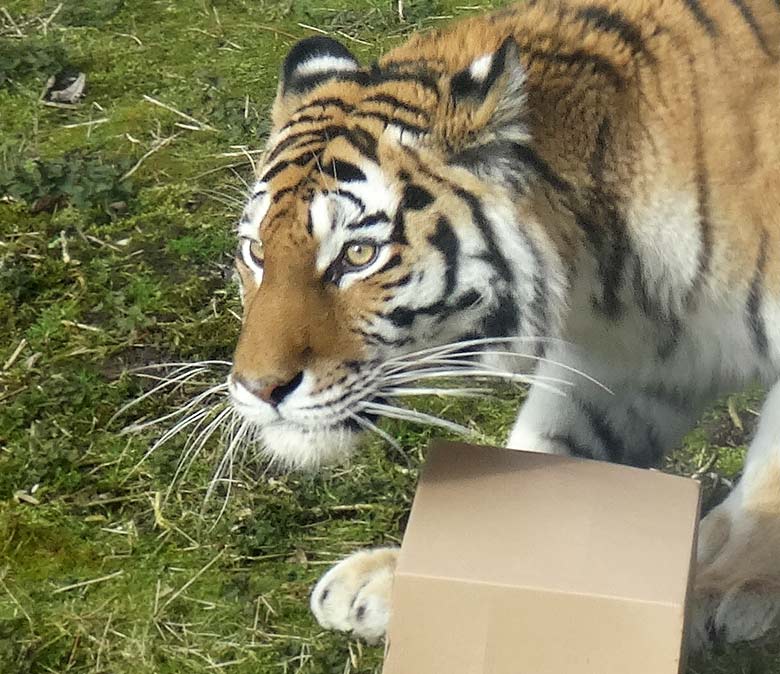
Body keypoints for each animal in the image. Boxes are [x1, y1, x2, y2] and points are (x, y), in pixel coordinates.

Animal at [227, 0, 780, 644]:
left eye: (358, 256)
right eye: (256, 252)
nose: (258, 389)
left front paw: (730, 583)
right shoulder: (644, 356)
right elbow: (549, 446)